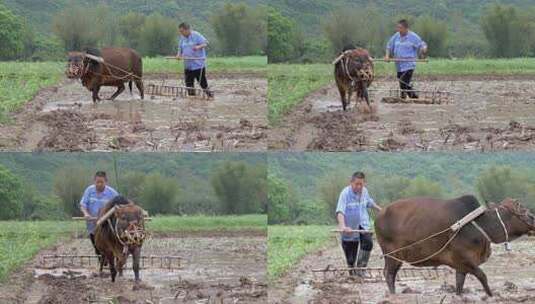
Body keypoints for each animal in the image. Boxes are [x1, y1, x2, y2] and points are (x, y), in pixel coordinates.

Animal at [376, 195, 535, 296]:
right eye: (521, 208)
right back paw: (393, 294)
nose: (533, 218)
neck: (481, 225)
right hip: (392, 255)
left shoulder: (461, 266)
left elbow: (459, 284)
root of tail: (380, 213)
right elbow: (483, 277)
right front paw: (491, 295)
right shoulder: (465, 259)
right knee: (388, 274)